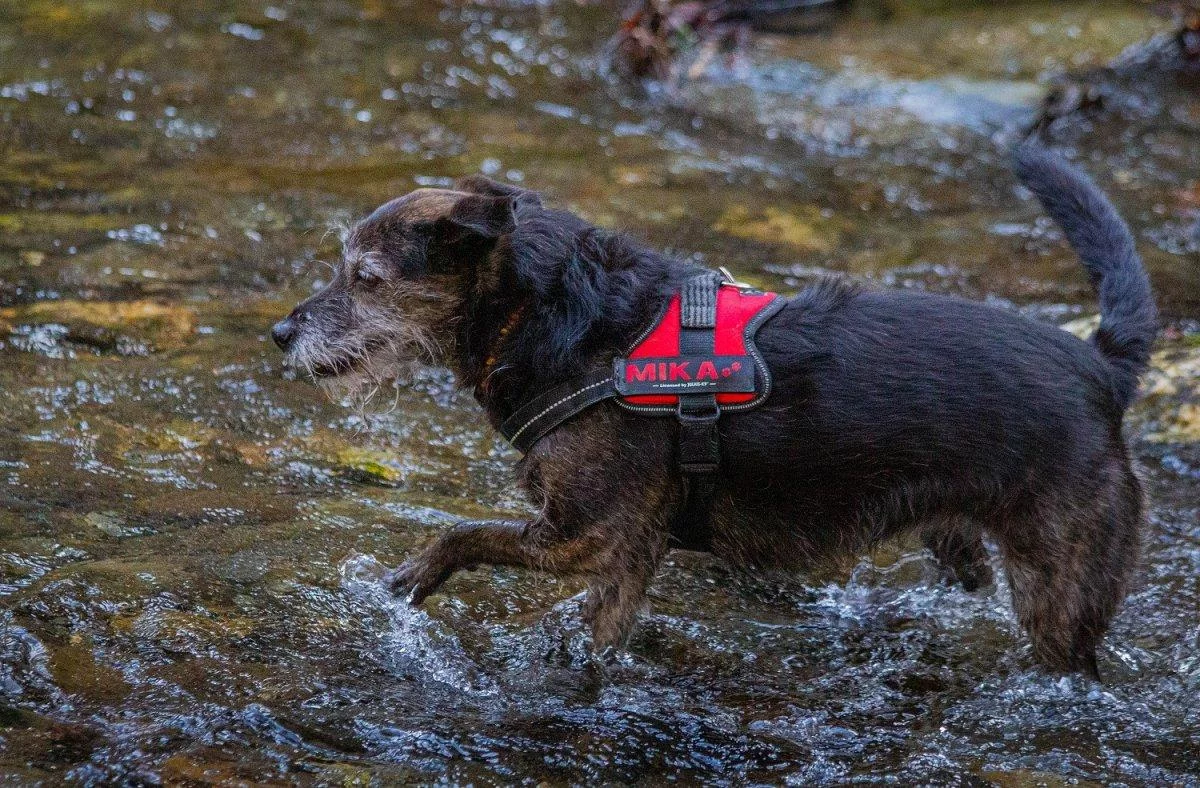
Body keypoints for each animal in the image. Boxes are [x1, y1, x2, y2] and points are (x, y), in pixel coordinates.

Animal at [272, 145, 1152, 676]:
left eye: (365, 277)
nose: (280, 332)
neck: (567, 319)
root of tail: (1103, 368)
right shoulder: (627, 555)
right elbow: (599, 630)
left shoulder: (587, 532)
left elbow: (462, 530)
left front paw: (409, 578)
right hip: (957, 538)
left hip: (1060, 578)